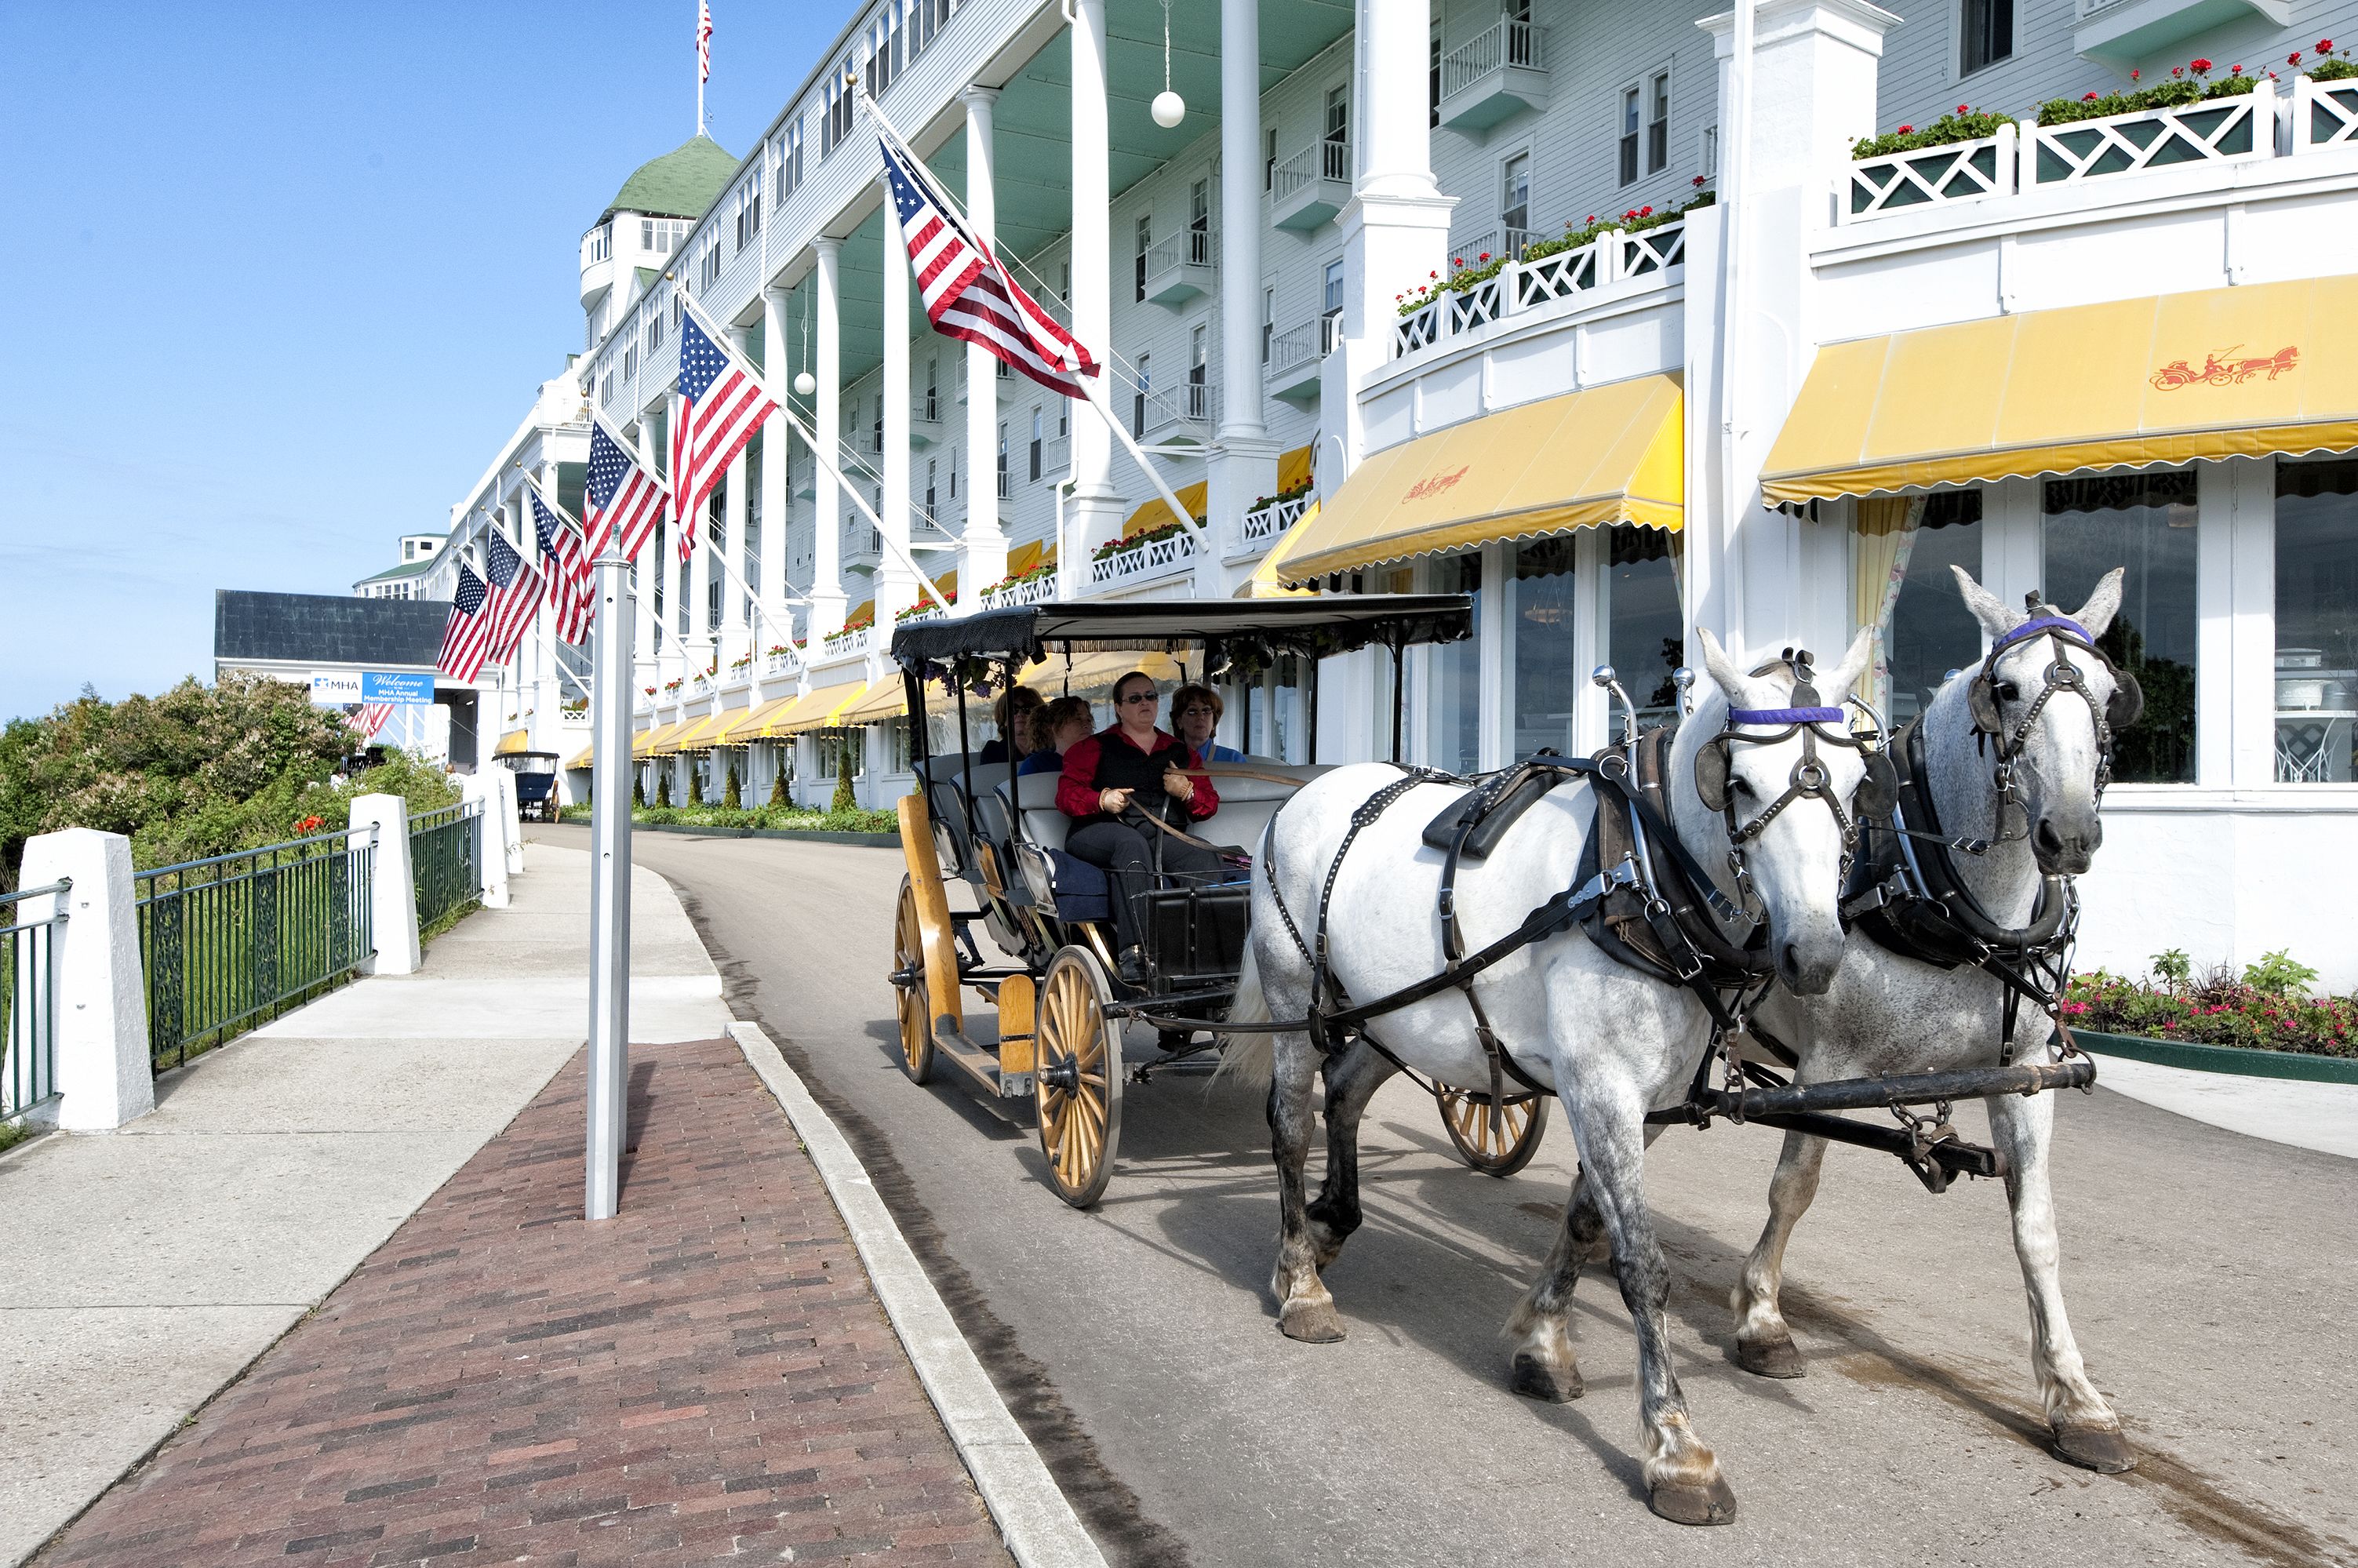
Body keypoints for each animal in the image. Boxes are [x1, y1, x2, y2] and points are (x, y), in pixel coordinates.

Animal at [1235, 627, 1876, 1527]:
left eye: (1856, 782)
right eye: (1739, 781)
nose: (1814, 955)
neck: (1637, 875)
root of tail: (1306, 795)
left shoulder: (1638, 1101)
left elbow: (1583, 1221)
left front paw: (1542, 1346)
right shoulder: (1602, 1087)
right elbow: (1642, 1264)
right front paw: (1678, 1448)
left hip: (1398, 1013)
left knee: (1348, 1091)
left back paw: (1331, 1227)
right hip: (1299, 996)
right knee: (1292, 1123)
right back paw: (1301, 1285)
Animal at [1735, 568, 2141, 1471]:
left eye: (2109, 693)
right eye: (2006, 687)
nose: (2070, 835)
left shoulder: (2024, 1076)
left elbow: (2037, 1229)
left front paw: (2077, 1398)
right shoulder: (1828, 1065)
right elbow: (1793, 1187)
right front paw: (1763, 1319)